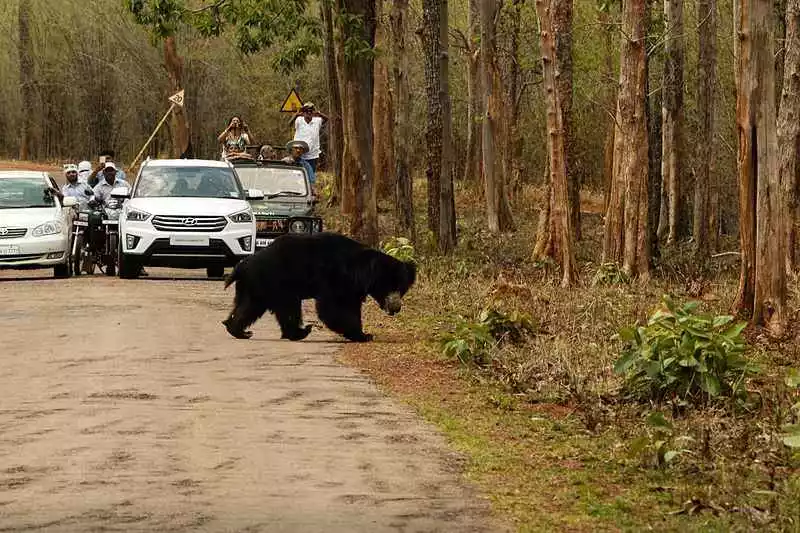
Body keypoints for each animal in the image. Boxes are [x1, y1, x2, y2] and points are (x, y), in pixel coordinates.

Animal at [222, 232, 416, 340]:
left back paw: (238, 330)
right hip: (277, 282)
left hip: (256, 287)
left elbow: (351, 306)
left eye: (402, 288)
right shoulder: (335, 278)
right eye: (388, 286)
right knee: (287, 308)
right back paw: (301, 331)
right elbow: (333, 308)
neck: (359, 271)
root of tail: (242, 266)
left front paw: (362, 333)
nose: (396, 307)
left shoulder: (353, 288)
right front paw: (363, 335)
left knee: (248, 307)